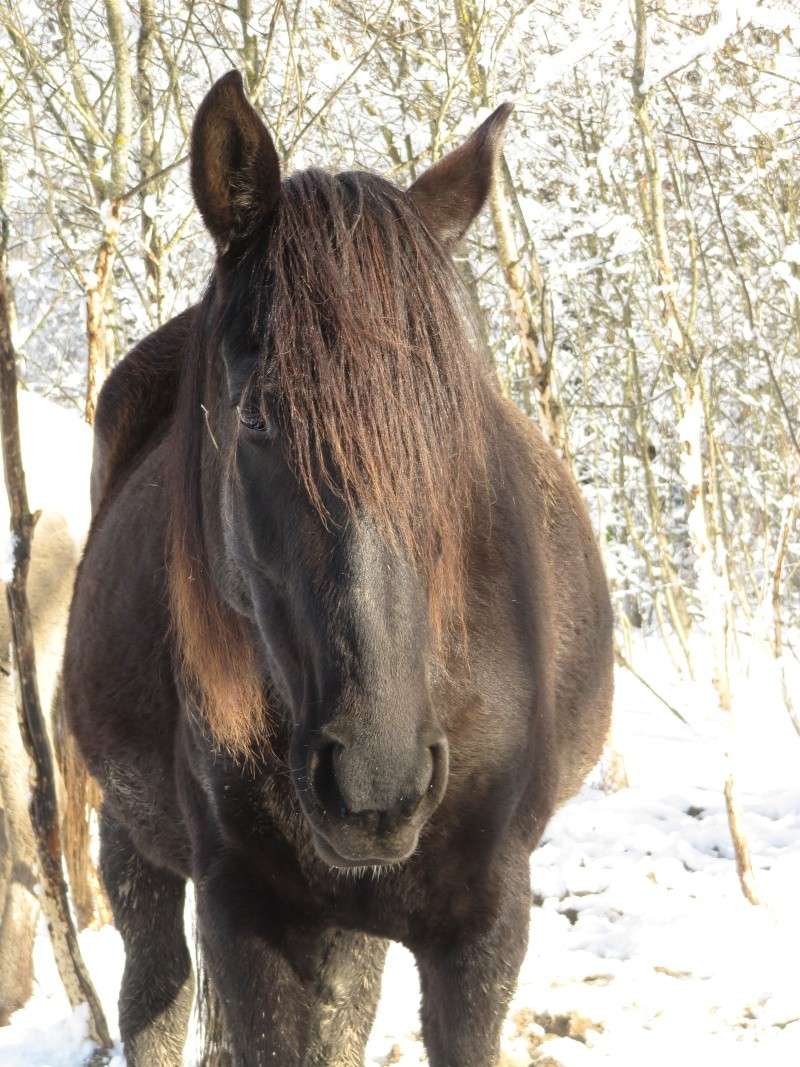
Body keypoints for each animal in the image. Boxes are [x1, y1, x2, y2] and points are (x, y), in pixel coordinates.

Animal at [64, 70, 614, 1062]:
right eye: (254, 416)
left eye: (456, 420)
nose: (375, 776)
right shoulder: (249, 917)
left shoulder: (484, 931)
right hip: (135, 843)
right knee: (153, 999)